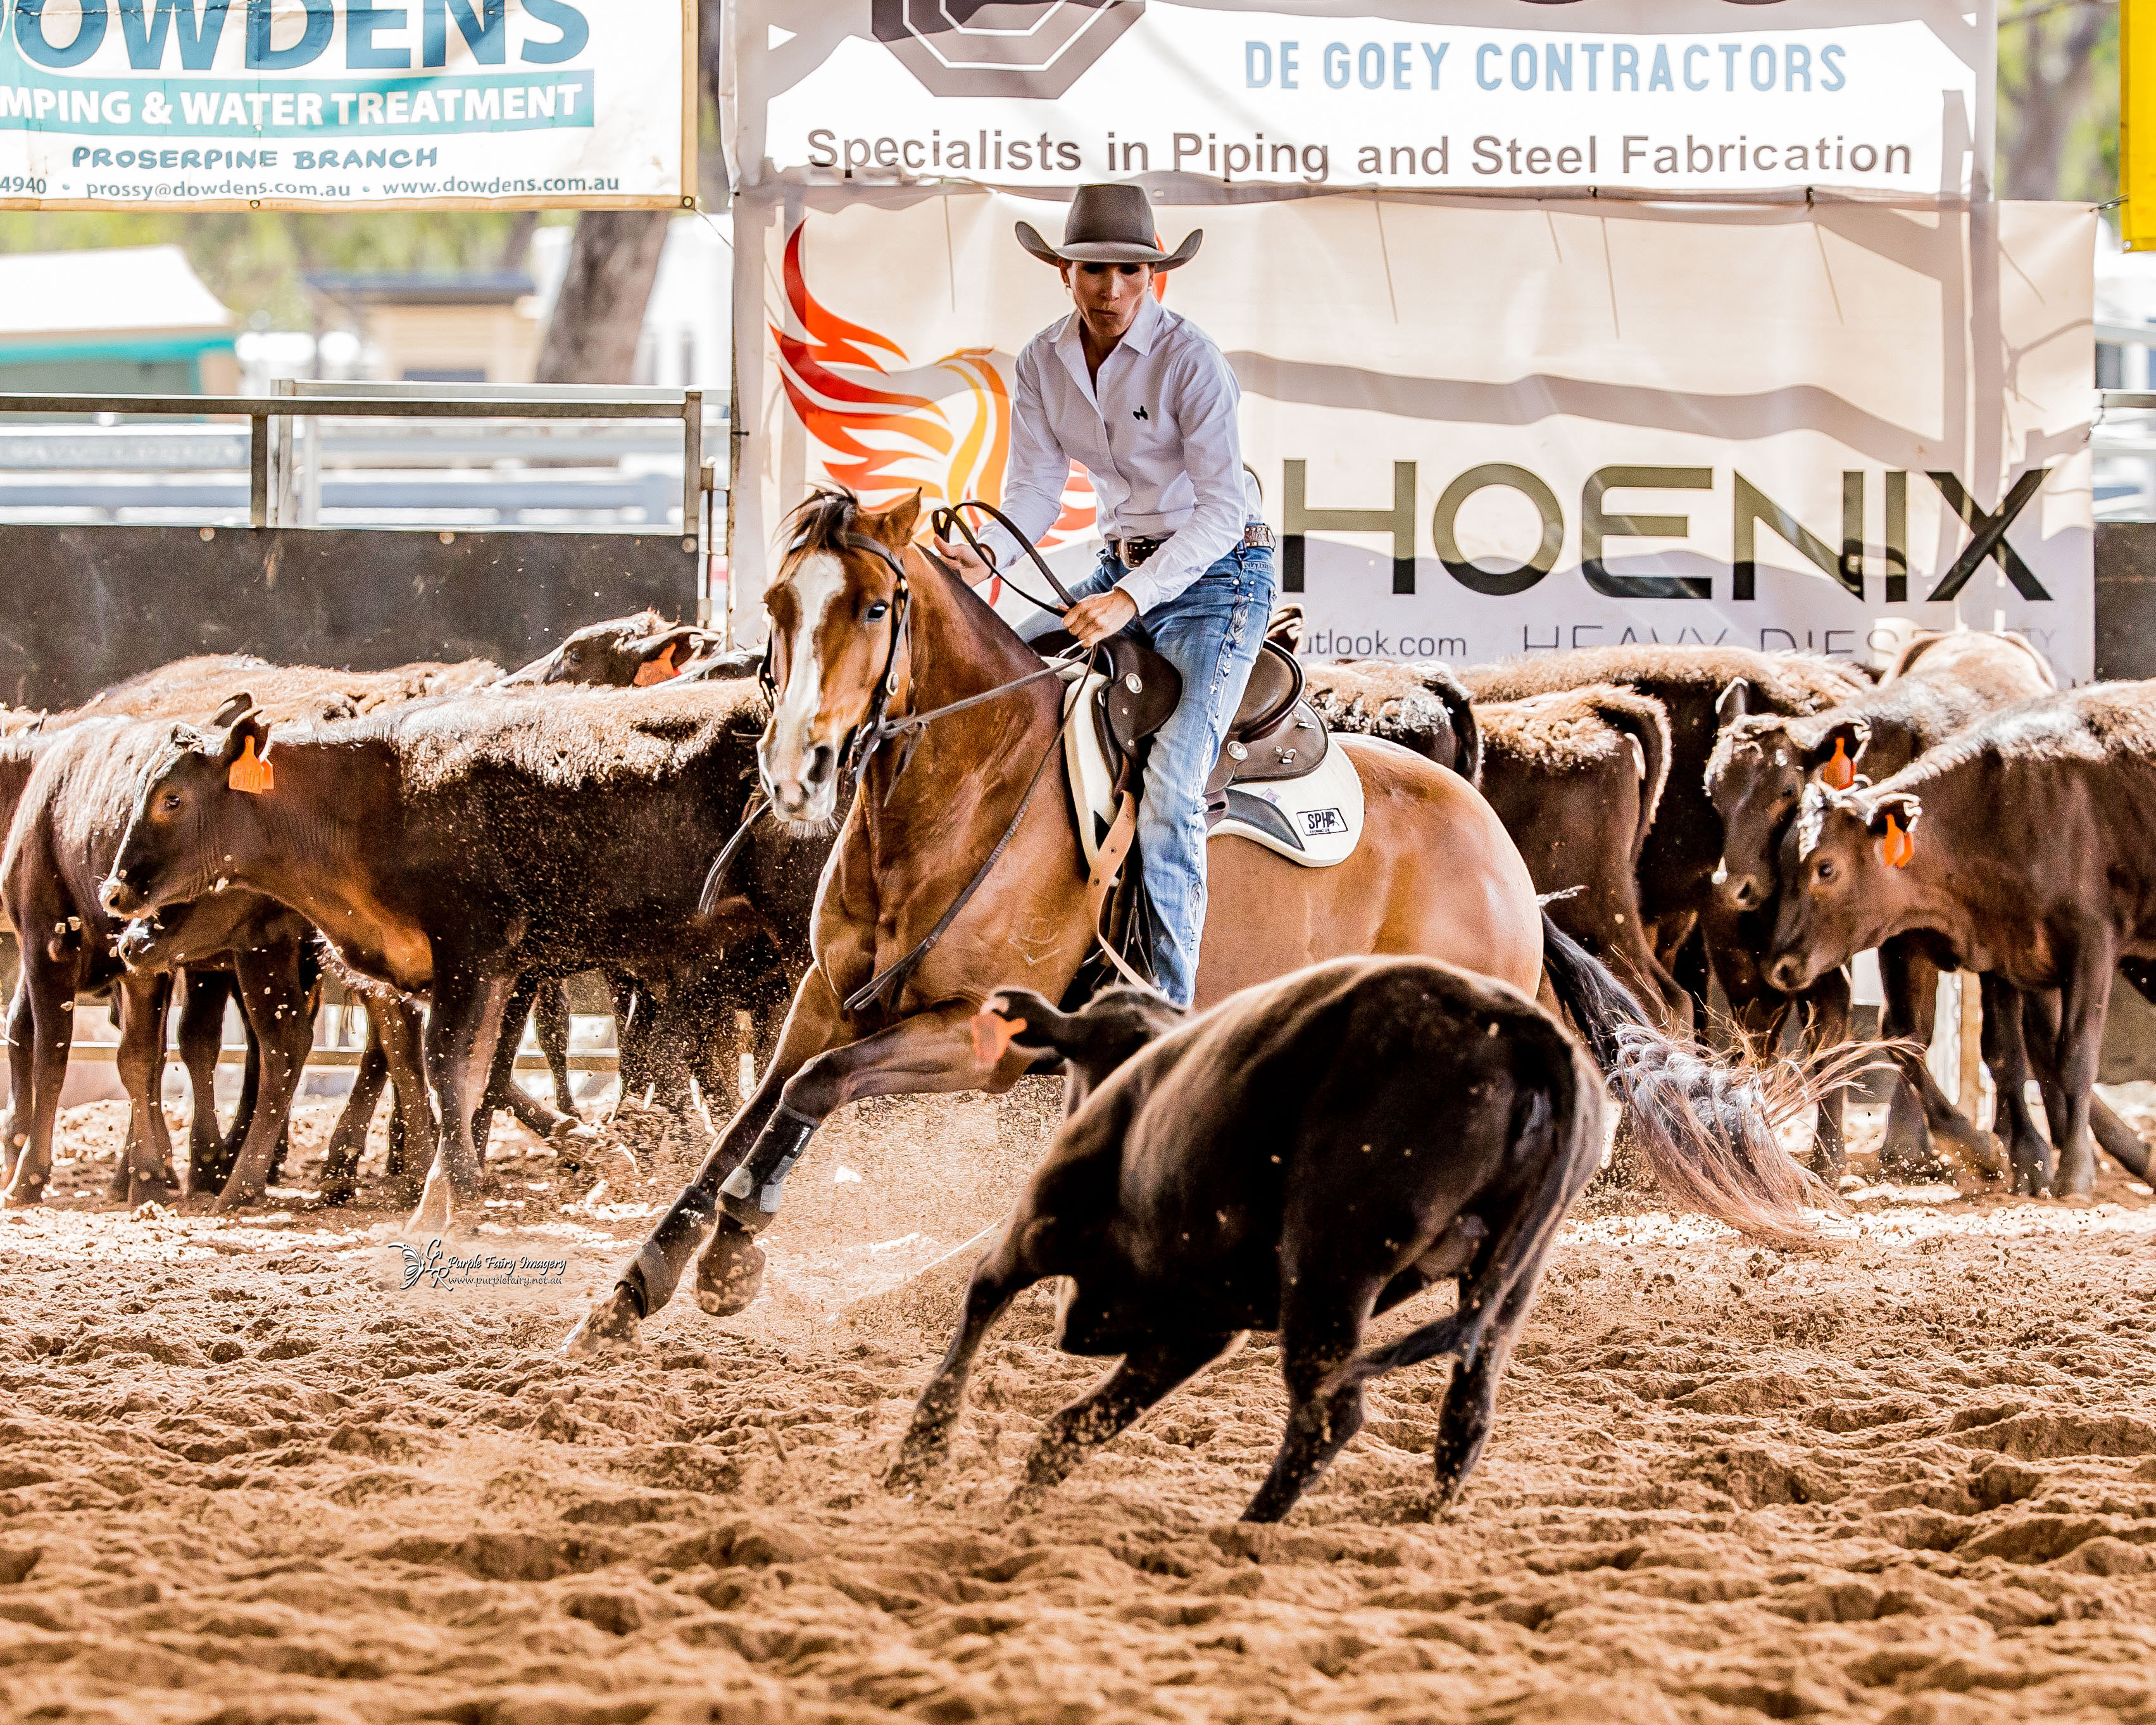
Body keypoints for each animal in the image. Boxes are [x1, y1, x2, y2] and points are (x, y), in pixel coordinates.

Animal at [562, 489, 1828, 1355]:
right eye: (780, 605)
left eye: (874, 605)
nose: (796, 770)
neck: (969, 789)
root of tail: (1500, 858)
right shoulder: (824, 1002)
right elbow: (756, 1111)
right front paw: (629, 1294)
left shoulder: (978, 1036)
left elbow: (813, 1098)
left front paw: (737, 1255)